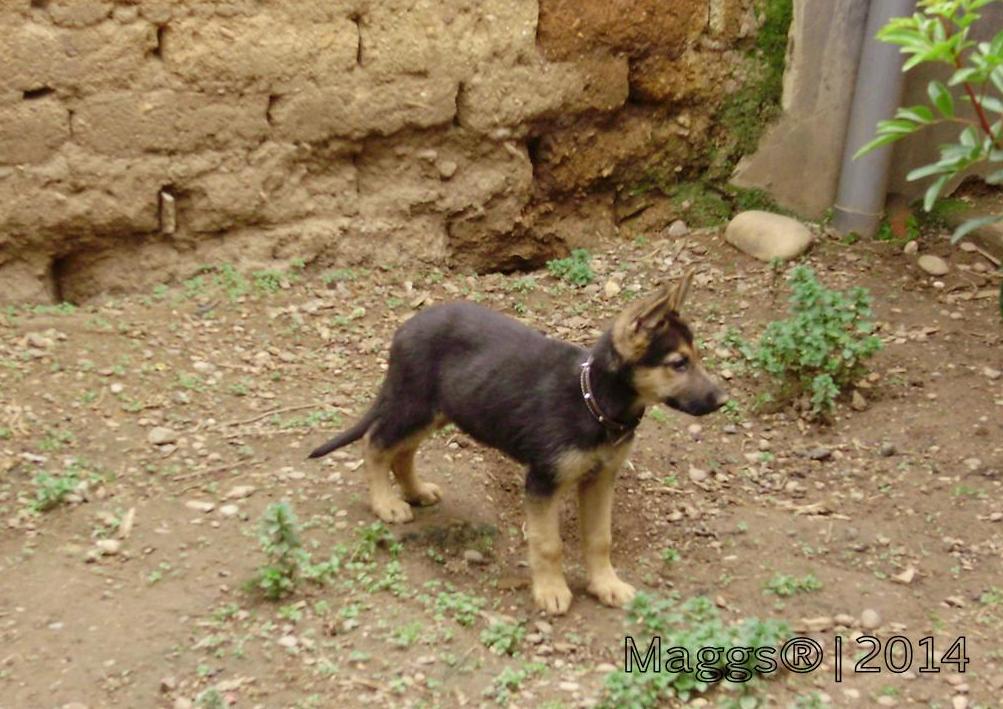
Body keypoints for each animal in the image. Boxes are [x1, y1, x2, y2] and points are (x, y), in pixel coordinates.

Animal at [308, 272, 726, 613]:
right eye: (678, 364)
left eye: (696, 358)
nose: (722, 400)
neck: (592, 401)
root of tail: (406, 327)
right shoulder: (543, 481)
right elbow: (548, 544)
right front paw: (551, 591)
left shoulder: (601, 479)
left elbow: (600, 538)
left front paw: (606, 584)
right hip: (415, 406)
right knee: (376, 444)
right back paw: (385, 503)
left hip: (440, 410)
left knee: (402, 451)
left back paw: (415, 491)